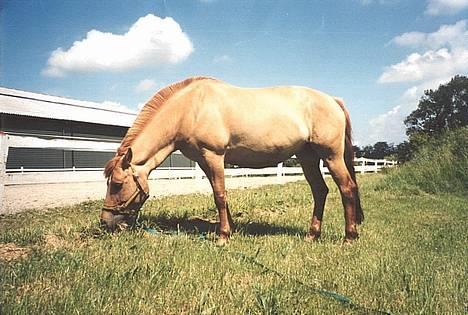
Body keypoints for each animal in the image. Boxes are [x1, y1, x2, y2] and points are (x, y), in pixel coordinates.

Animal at [100, 76, 364, 244]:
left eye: (117, 184)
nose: (106, 223)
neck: (190, 109)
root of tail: (333, 100)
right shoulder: (205, 161)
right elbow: (220, 197)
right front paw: (230, 230)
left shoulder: (214, 156)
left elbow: (219, 195)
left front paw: (223, 237)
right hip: (307, 157)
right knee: (320, 191)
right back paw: (312, 235)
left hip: (331, 156)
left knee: (347, 188)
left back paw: (349, 237)